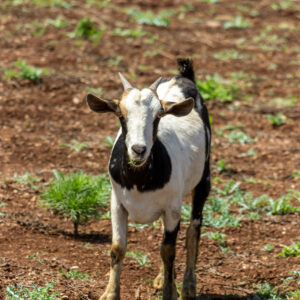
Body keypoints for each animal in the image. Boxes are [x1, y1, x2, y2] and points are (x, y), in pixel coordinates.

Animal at [86, 58, 211, 300]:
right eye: (120, 115)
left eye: (158, 116)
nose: (139, 150)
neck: (139, 180)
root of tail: (182, 76)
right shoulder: (117, 204)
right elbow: (118, 247)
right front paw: (110, 293)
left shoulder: (173, 208)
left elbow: (168, 250)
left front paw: (170, 293)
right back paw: (163, 279)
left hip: (204, 177)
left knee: (193, 230)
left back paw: (188, 287)